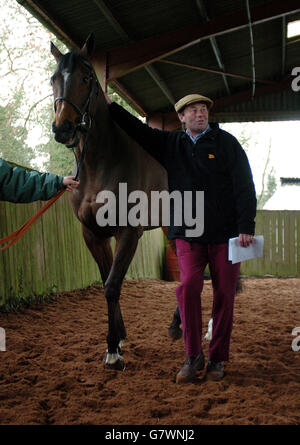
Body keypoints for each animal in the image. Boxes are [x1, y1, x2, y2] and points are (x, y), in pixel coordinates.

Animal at [51, 33, 169, 368]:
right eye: (53, 79)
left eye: (86, 77)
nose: (62, 128)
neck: (100, 165)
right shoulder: (94, 234)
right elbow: (107, 282)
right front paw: (118, 339)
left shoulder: (129, 233)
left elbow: (113, 285)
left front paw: (115, 351)